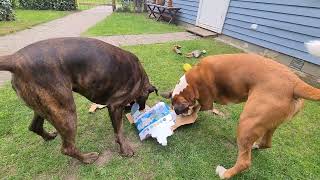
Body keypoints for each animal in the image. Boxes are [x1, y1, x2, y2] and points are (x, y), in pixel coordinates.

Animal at [0, 37, 158, 164]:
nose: (142, 108)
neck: (140, 77)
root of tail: (15, 59)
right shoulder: (114, 106)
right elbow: (119, 131)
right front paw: (125, 149)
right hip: (65, 113)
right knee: (67, 148)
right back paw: (86, 158)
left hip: (44, 108)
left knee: (34, 127)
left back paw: (49, 136)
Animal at [165, 53, 320, 179]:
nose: (178, 113)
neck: (192, 80)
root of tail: (295, 82)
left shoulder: (206, 101)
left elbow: (199, 106)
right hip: (269, 123)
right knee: (266, 143)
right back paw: (254, 146)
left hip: (247, 122)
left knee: (245, 162)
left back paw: (224, 173)